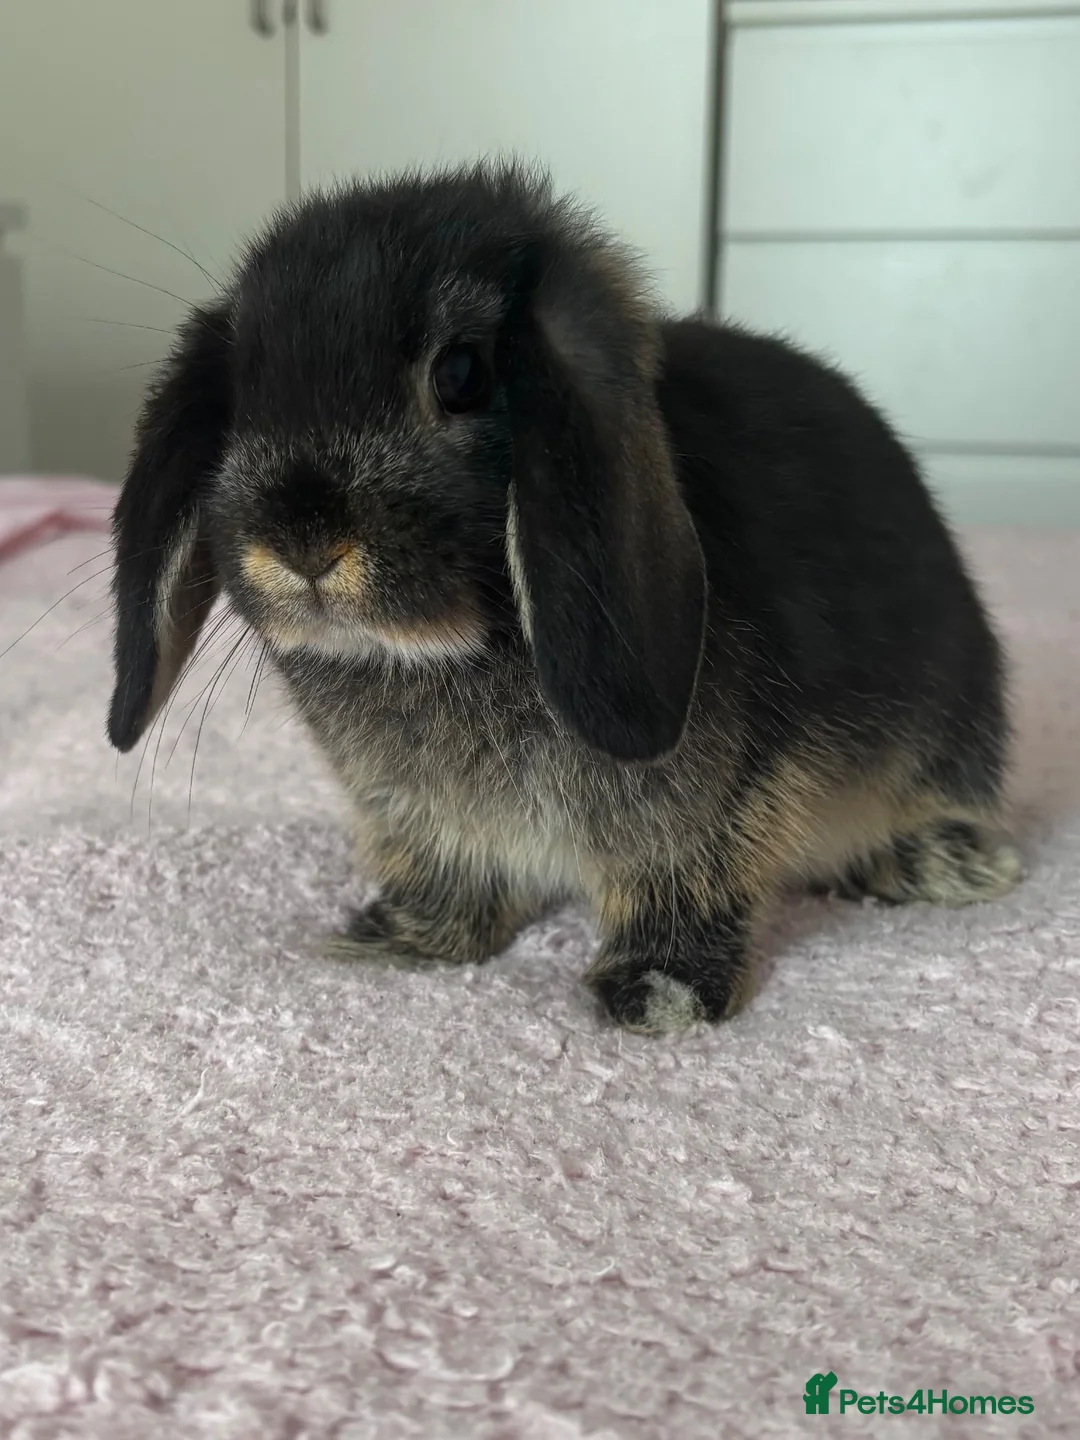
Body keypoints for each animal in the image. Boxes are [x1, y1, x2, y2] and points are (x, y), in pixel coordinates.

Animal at [106, 160, 1022, 1033]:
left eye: (462, 373)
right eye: (240, 396)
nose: (301, 544)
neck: (447, 653)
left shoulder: (706, 811)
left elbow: (684, 881)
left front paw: (659, 994)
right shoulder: (423, 821)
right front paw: (399, 940)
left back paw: (946, 867)